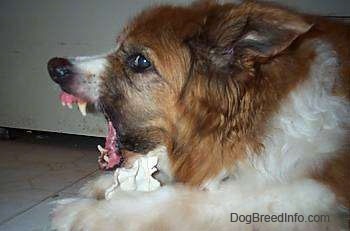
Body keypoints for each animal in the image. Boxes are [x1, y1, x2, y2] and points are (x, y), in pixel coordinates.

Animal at [47, 0, 350, 230]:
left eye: (140, 61)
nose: (54, 67)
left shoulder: (307, 192)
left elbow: (183, 198)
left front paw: (86, 212)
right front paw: (107, 185)